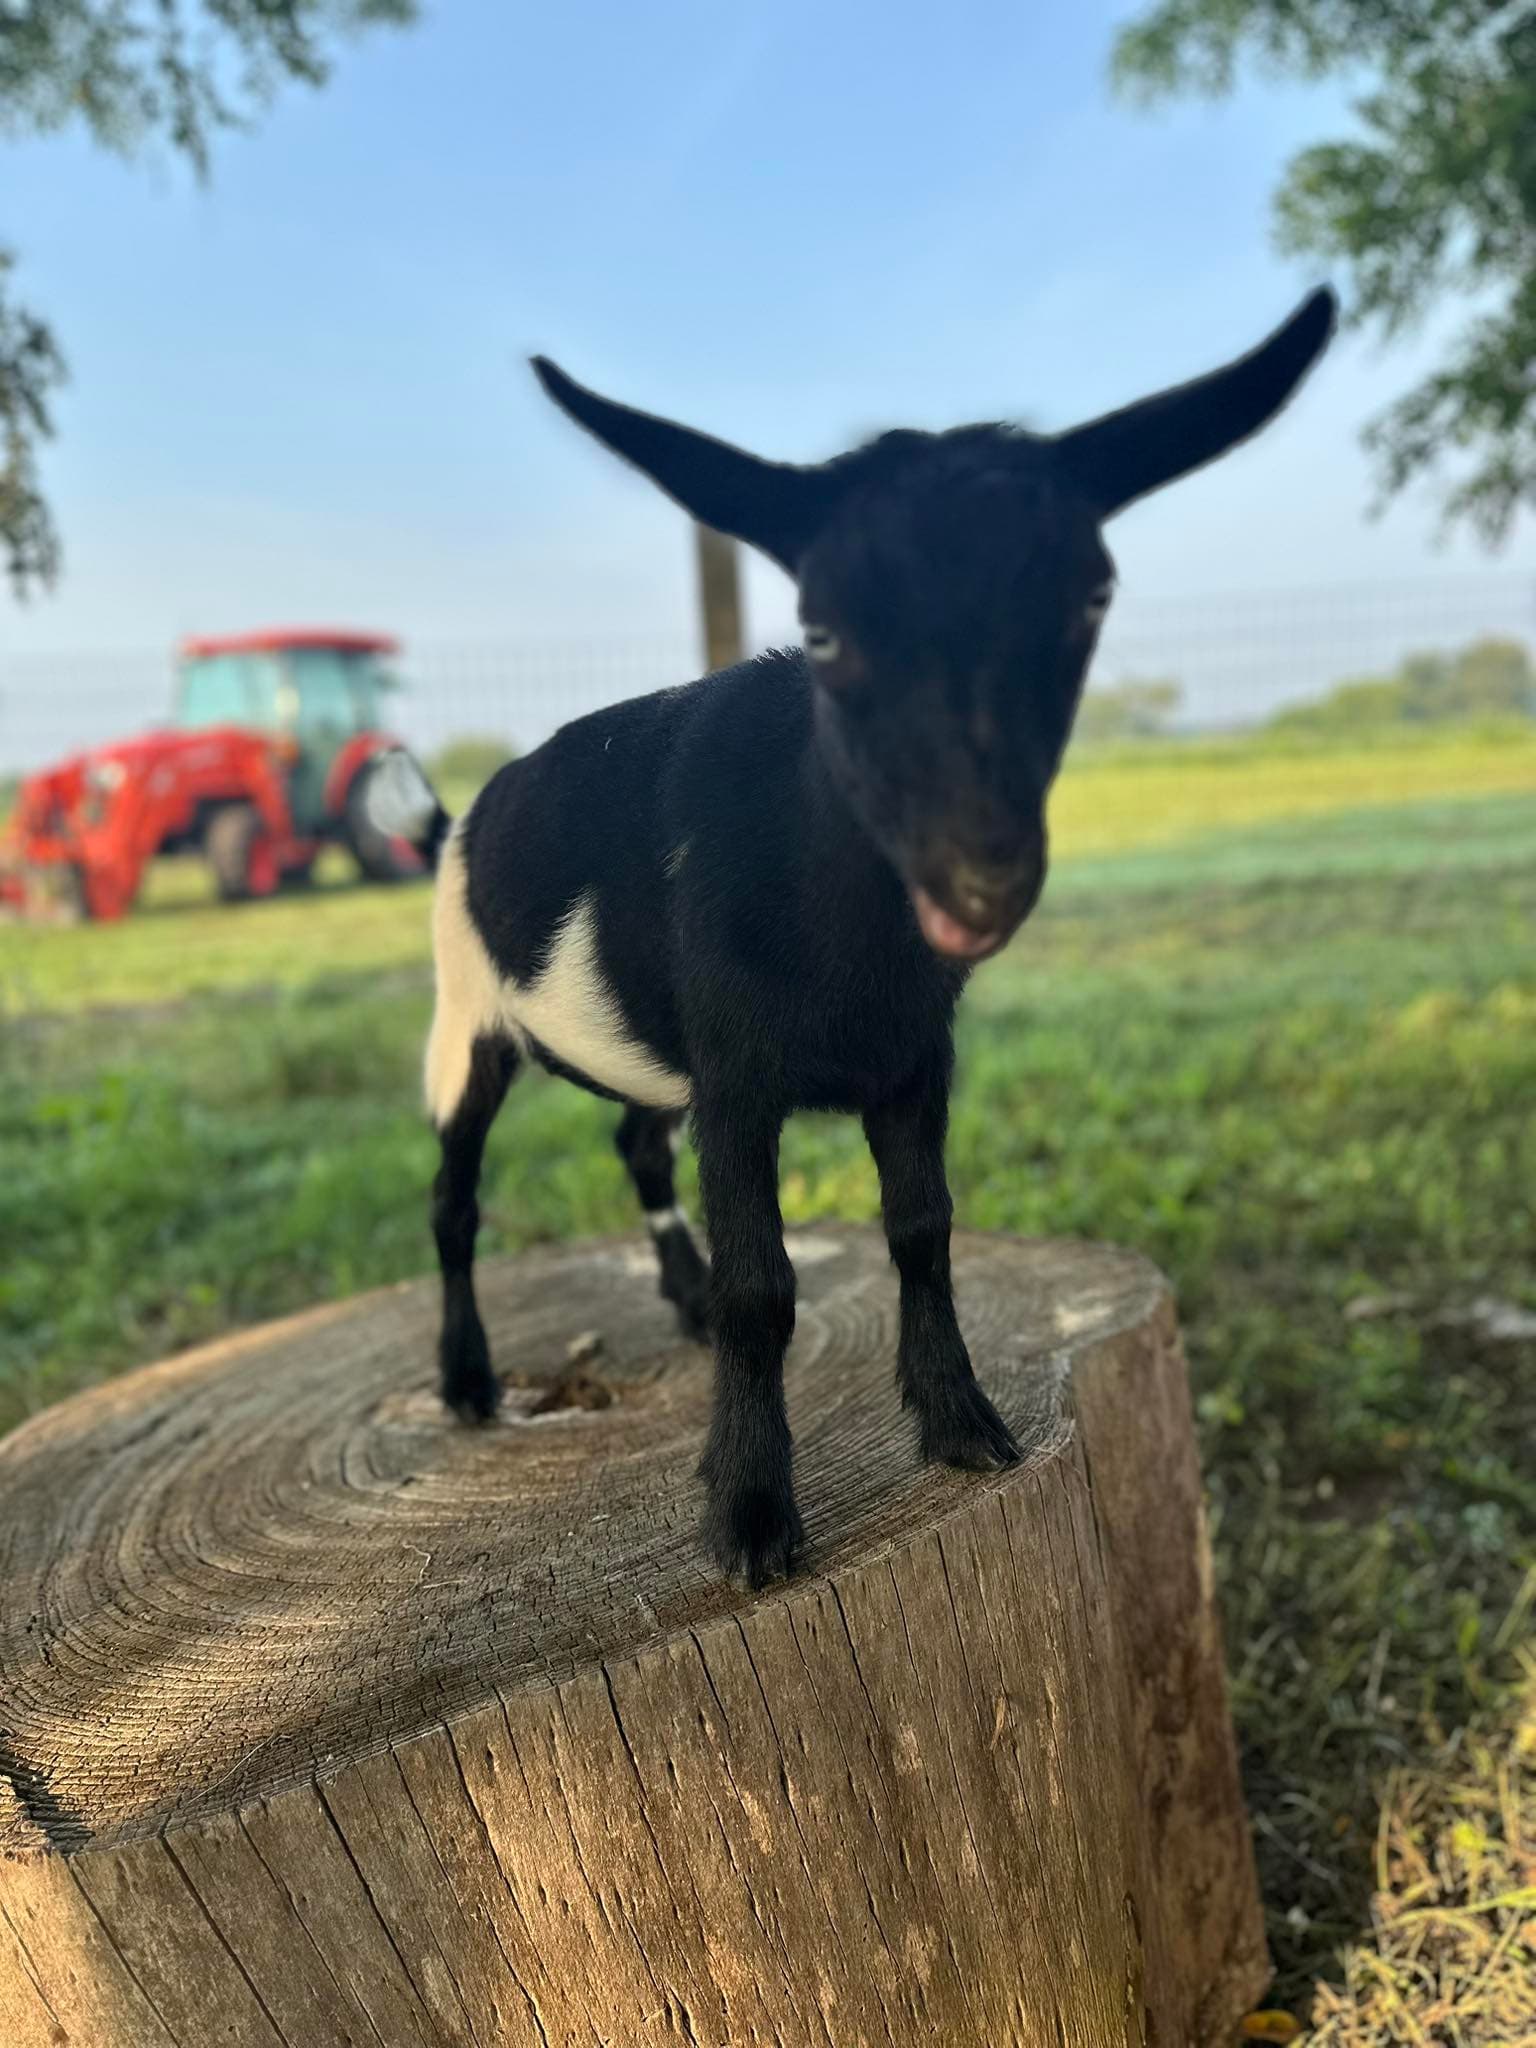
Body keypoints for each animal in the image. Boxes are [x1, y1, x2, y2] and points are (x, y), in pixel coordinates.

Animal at [388, 289, 1335, 1586]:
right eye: (824, 629)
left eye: (1090, 597)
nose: (981, 876)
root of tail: (459, 819)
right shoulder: (740, 1074)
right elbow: (765, 1287)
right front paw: (751, 1513)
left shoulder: (910, 1058)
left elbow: (924, 1229)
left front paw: (963, 1422)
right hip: (463, 1016)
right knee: (453, 1196)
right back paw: (470, 1377)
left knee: (636, 1142)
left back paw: (674, 1292)